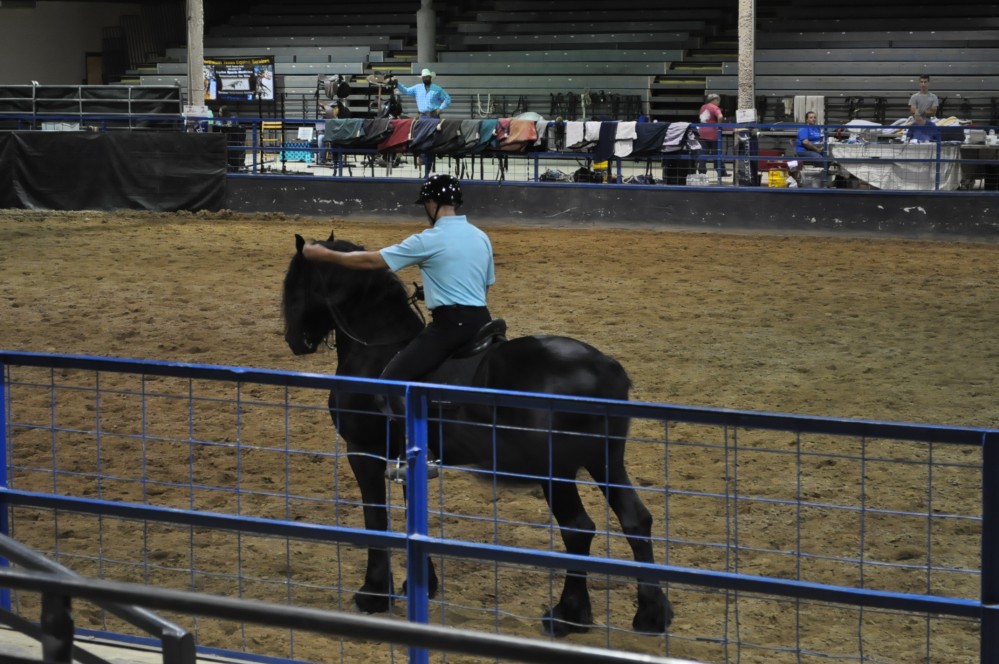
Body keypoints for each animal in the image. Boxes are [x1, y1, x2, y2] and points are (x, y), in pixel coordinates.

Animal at [282, 231, 672, 636]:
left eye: (294, 284)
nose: (294, 340)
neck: (377, 350)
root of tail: (605, 368)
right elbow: (410, 512)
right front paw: (421, 584)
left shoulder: (362, 451)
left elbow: (376, 518)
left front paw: (373, 594)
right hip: (605, 461)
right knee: (636, 519)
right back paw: (651, 614)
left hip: (558, 471)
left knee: (579, 528)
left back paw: (567, 615)